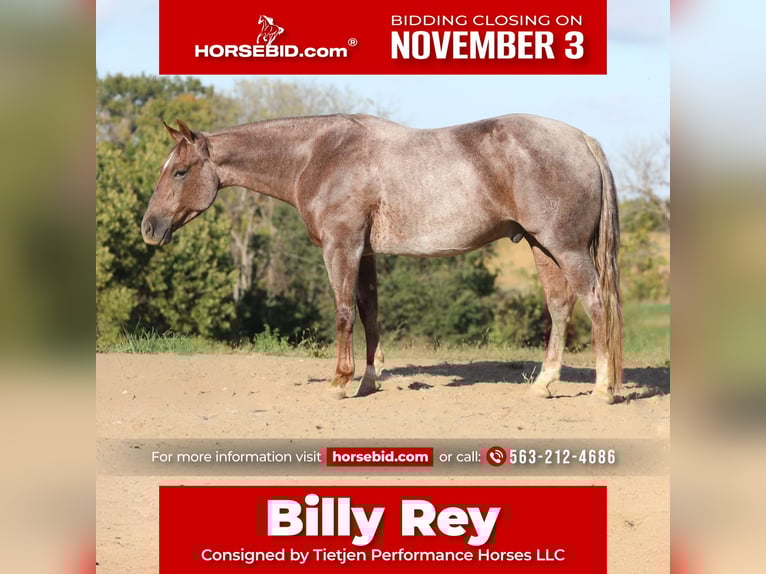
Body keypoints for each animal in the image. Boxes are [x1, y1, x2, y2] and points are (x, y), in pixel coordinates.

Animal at [141, 114, 623, 403]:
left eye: (179, 171)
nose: (149, 227)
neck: (319, 155)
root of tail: (581, 139)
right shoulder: (366, 253)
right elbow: (369, 312)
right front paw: (369, 379)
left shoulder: (341, 248)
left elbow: (342, 312)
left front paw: (339, 381)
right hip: (543, 247)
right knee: (559, 307)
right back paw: (543, 384)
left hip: (565, 248)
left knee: (595, 304)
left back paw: (603, 388)